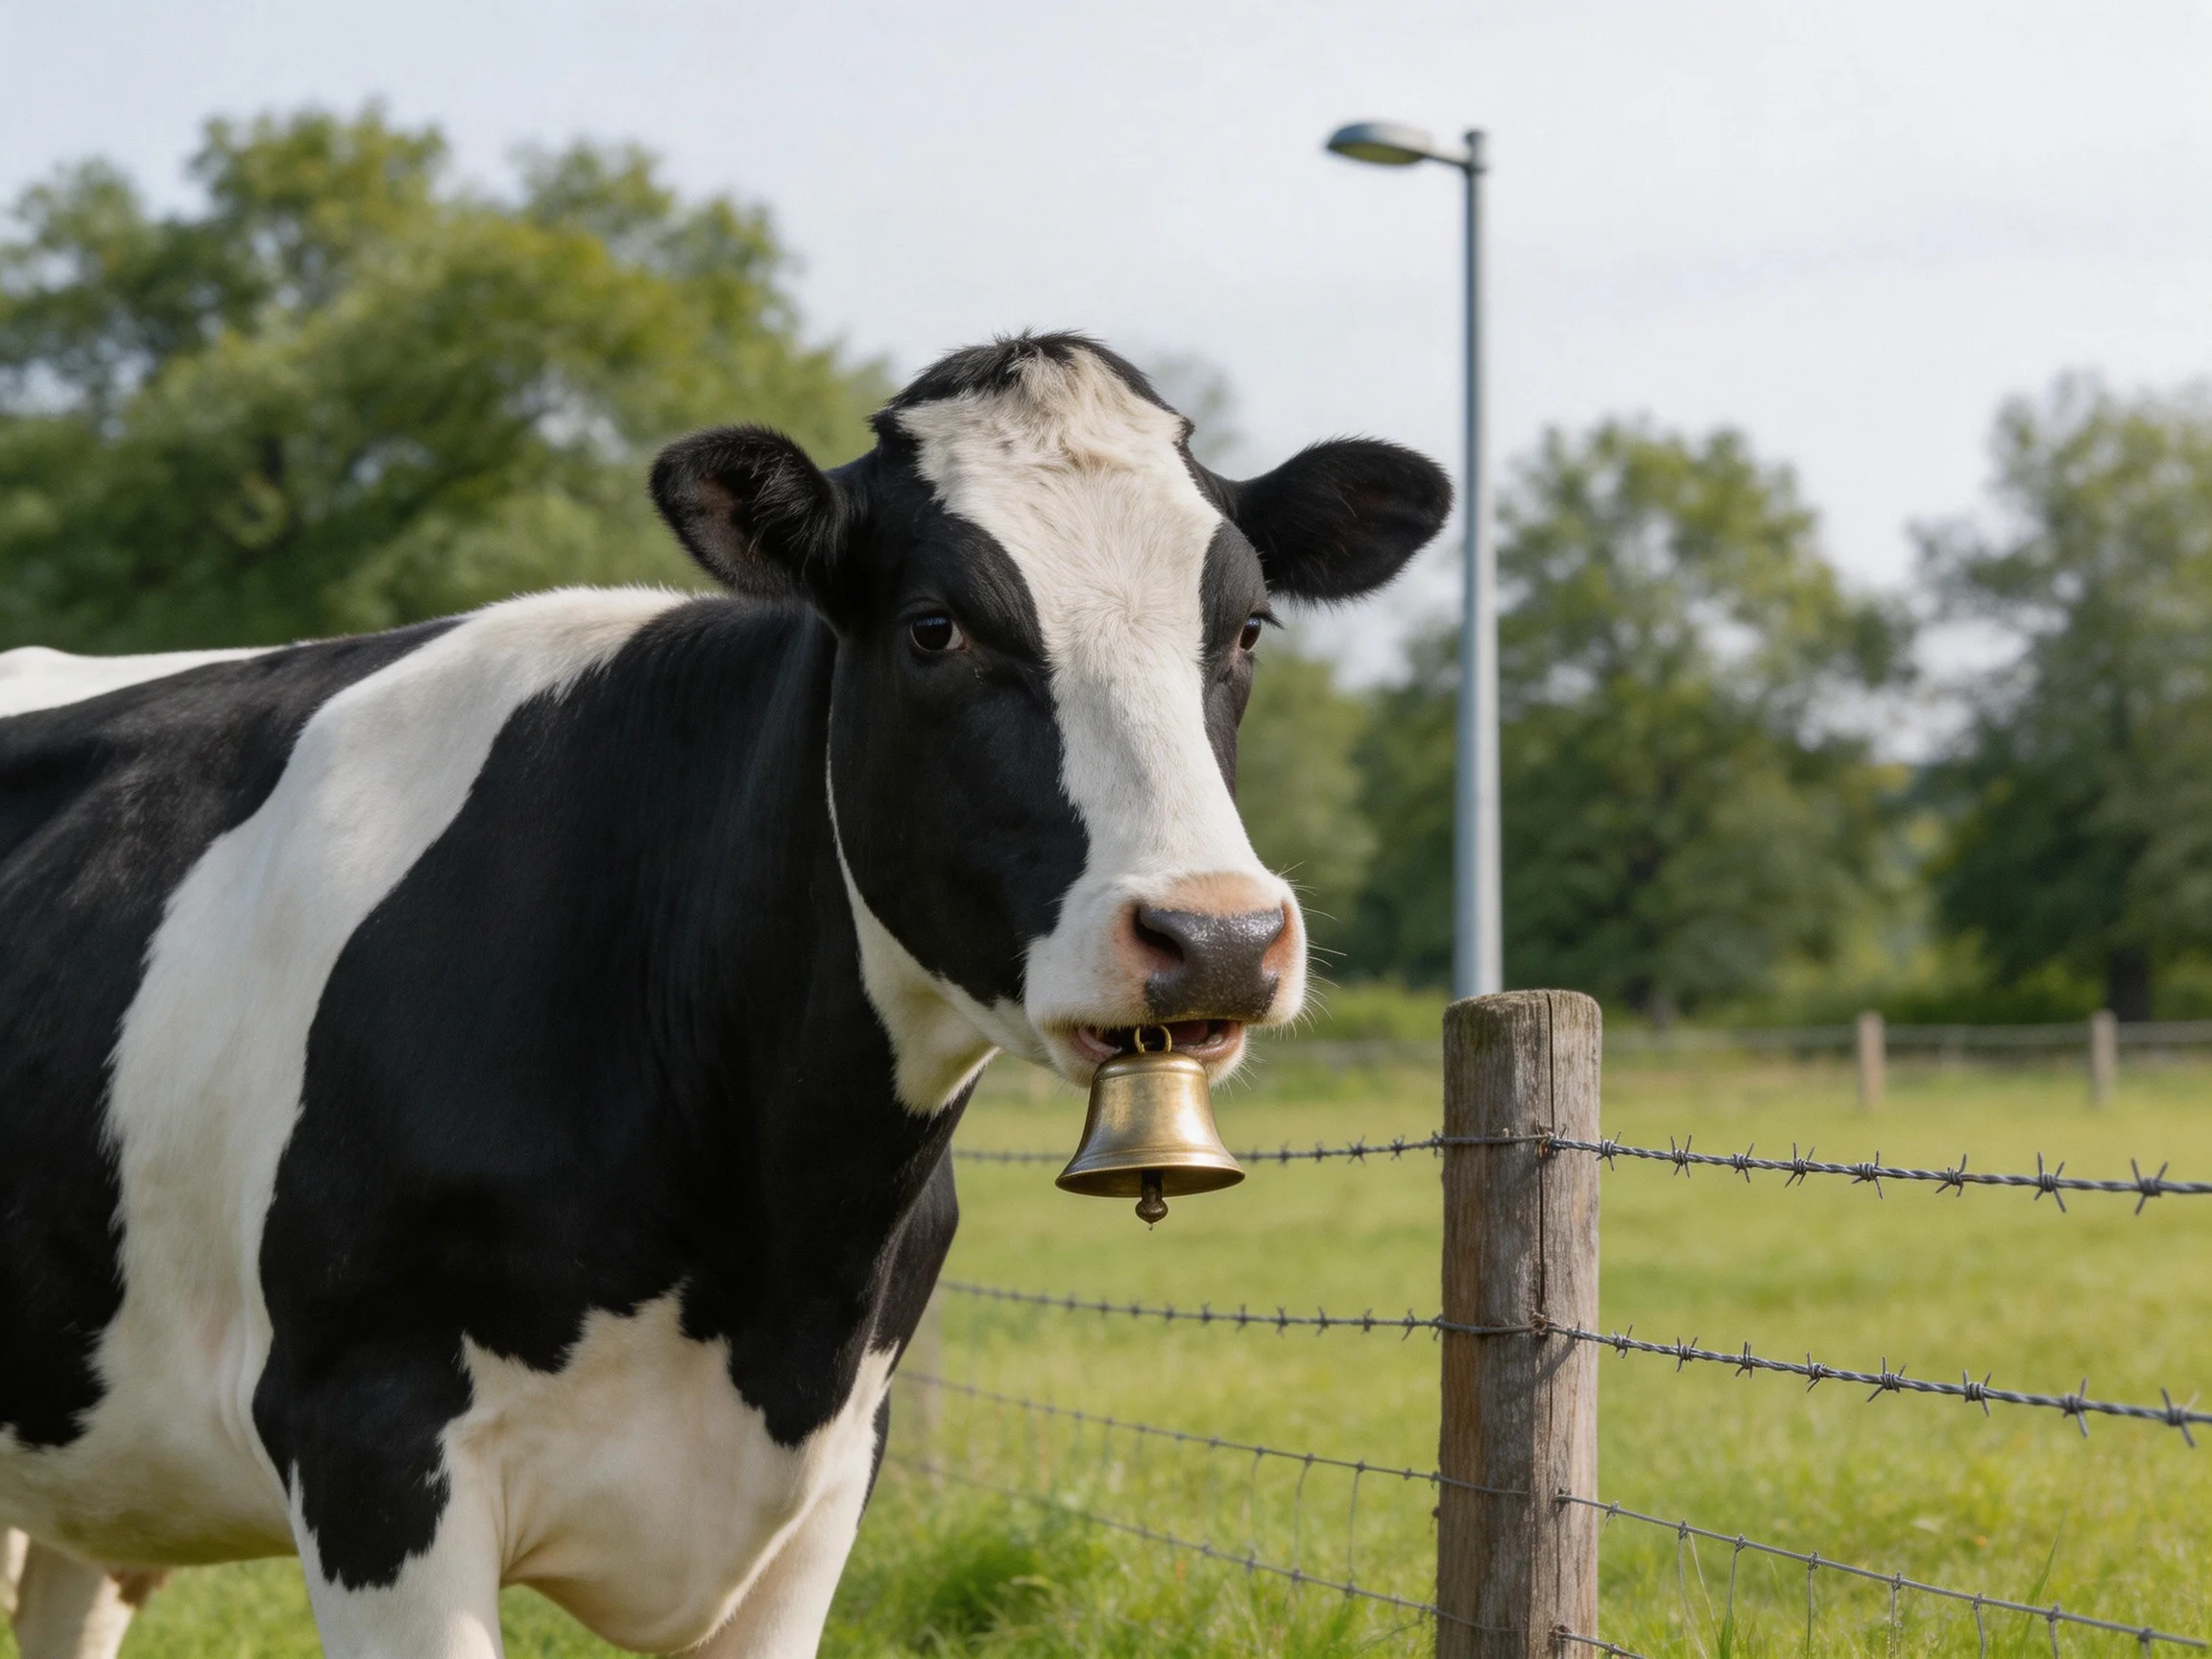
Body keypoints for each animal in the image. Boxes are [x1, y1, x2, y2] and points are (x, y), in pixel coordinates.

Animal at [0, 333, 1450, 1659]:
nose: (1215, 935)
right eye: (936, 629)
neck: (769, 1260)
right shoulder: (369, 1444)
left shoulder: (822, 1488)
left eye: (1246, 628)